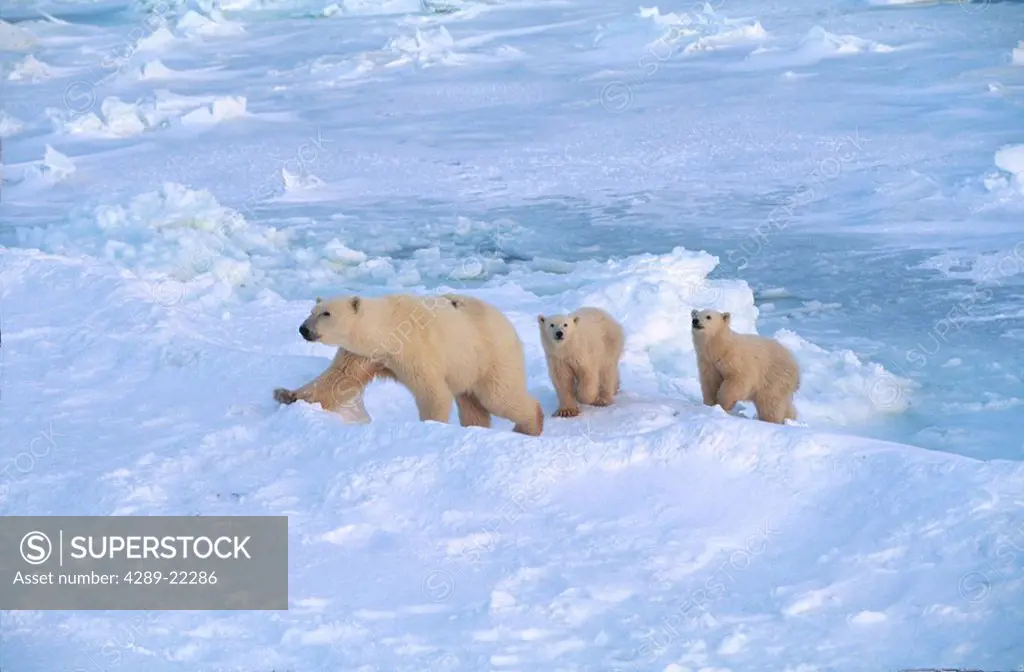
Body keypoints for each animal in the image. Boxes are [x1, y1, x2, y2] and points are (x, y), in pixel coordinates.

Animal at [284, 292, 548, 436]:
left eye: (326, 313)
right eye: (312, 310)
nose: (303, 329)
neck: (388, 328)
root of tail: (507, 322)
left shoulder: (415, 349)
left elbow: (433, 393)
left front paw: (432, 426)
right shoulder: (365, 355)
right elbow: (338, 378)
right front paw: (287, 395)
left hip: (490, 356)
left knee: (499, 396)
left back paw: (529, 425)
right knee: (471, 404)